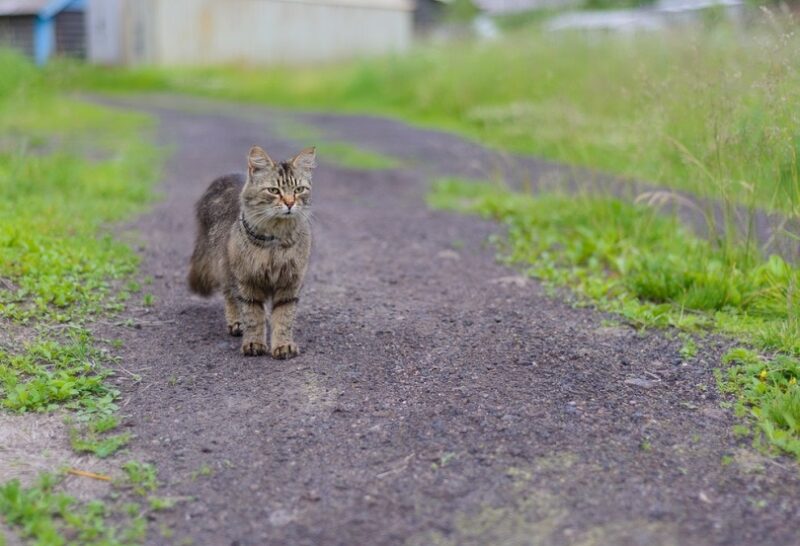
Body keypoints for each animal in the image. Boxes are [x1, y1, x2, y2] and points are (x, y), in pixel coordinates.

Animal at [188, 144, 316, 356]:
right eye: (274, 190)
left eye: (299, 190)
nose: (290, 203)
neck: (275, 241)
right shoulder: (247, 281)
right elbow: (253, 315)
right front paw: (254, 343)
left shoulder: (290, 282)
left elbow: (284, 317)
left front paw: (283, 345)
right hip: (224, 266)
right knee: (230, 296)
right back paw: (236, 323)